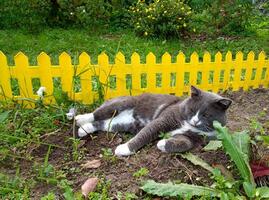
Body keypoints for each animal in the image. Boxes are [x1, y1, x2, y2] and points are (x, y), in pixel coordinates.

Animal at [75, 86, 230, 156]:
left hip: (120, 124)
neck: (189, 125)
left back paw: (84, 130)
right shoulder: (164, 120)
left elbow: (186, 143)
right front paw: (124, 148)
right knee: (97, 114)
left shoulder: (193, 138)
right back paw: (79, 118)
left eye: (206, 115)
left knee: (102, 124)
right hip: (122, 103)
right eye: (192, 110)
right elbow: (145, 134)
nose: (195, 121)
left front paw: (163, 143)